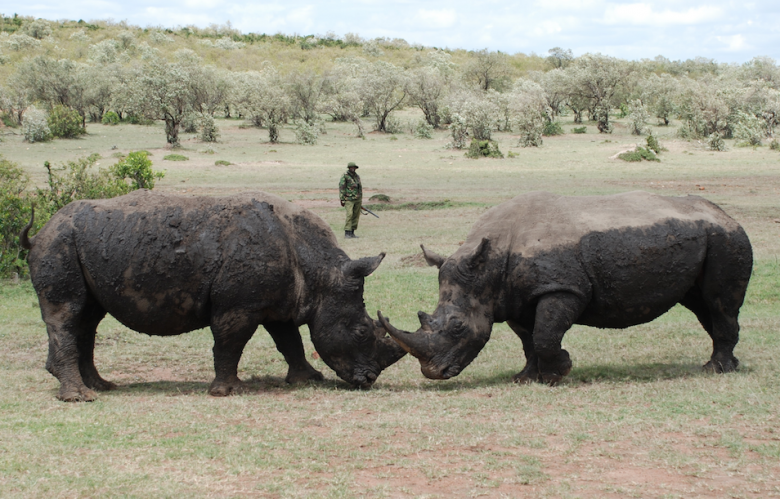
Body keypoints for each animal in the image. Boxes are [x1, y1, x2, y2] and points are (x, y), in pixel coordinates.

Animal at [21, 190, 406, 402]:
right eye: (361, 332)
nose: (369, 380)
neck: (321, 275)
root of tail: (40, 231)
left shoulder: (280, 302)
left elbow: (289, 341)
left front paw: (308, 379)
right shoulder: (239, 305)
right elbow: (230, 342)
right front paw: (227, 391)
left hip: (76, 243)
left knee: (88, 317)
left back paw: (102, 386)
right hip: (59, 243)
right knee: (68, 314)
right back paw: (80, 397)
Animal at [380, 191, 752, 382]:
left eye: (458, 327)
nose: (433, 373)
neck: (488, 267)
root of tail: (726, 213)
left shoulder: (563, 288)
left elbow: (545, 334)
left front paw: (562, 371)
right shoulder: (514, 296)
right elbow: (528, 339)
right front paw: (527, 378)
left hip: (726, 238)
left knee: (718, 303)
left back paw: (715, 370)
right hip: (709, 237)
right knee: (702, 305)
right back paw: (726, 366)